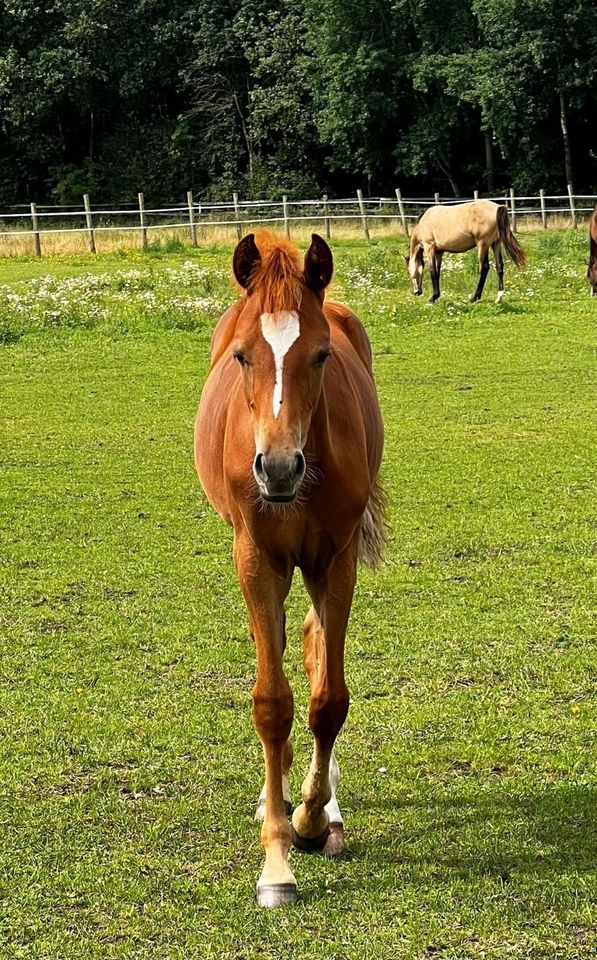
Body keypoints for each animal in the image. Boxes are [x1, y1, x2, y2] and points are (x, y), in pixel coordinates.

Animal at [193, 231, 384, 908]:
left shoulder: (337, 559)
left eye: (322, 355)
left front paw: (310, 819)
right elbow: (271, 703)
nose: (277, 467)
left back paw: (323, 808)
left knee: (311, 645)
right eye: (243, 356)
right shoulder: (256, 558)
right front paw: (275, 863)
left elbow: (328, 698)